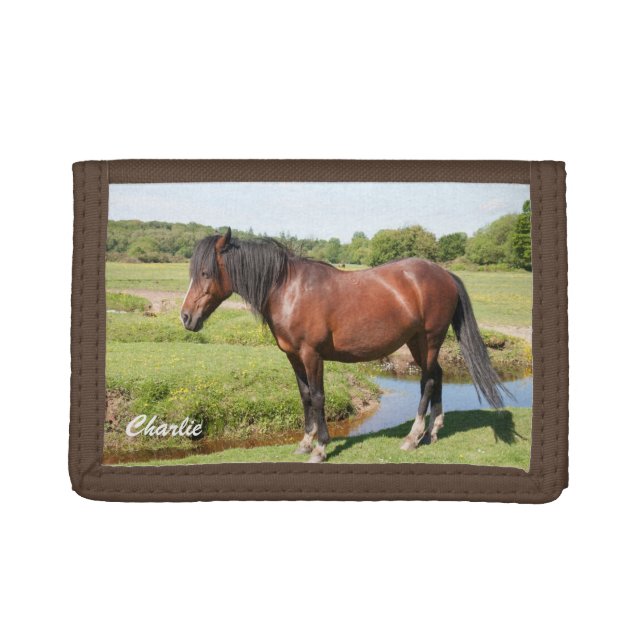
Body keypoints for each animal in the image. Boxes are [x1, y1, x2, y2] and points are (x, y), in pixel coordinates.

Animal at [181, 228, 509, 463]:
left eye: (206, 273)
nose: (186, 317)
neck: (288, 290)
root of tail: (444, 274)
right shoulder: (293, 356)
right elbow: (304, 397)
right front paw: (305, 443)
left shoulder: (312, 355)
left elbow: (318, 397)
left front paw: (321, 448)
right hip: (418, 342)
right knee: (438, 376)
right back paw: (433, 432)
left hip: (428, 340)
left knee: (427, 381)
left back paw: (412, 438)